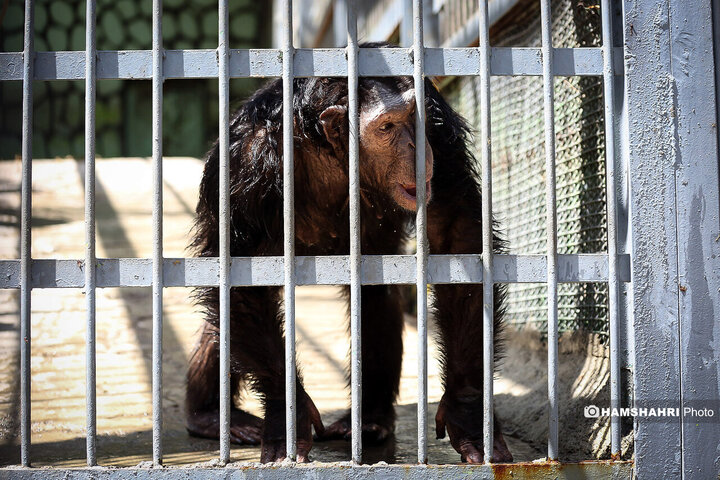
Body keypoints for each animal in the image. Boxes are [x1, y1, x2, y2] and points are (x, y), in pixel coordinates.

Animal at [186, 45, 512, 464]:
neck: (332, 151)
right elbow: (243, 280)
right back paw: (210, 415)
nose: (416, 147)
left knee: (374, 295)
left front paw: (468, 411)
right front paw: (286, 414)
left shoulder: (440, 130)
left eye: (414, 118)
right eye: (387, 127)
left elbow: (458, 239)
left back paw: (369, 419)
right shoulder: (245, 165)